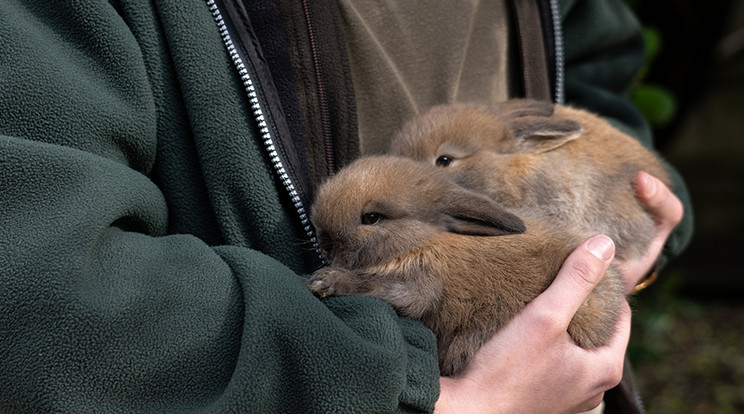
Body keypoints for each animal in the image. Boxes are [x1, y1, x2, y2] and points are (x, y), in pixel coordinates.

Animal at [308, 155, 628, 376]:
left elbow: (379, 288)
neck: (424, 242)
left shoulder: (419, 285)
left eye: (371, 217)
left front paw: (325, 281)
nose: (324, 242)